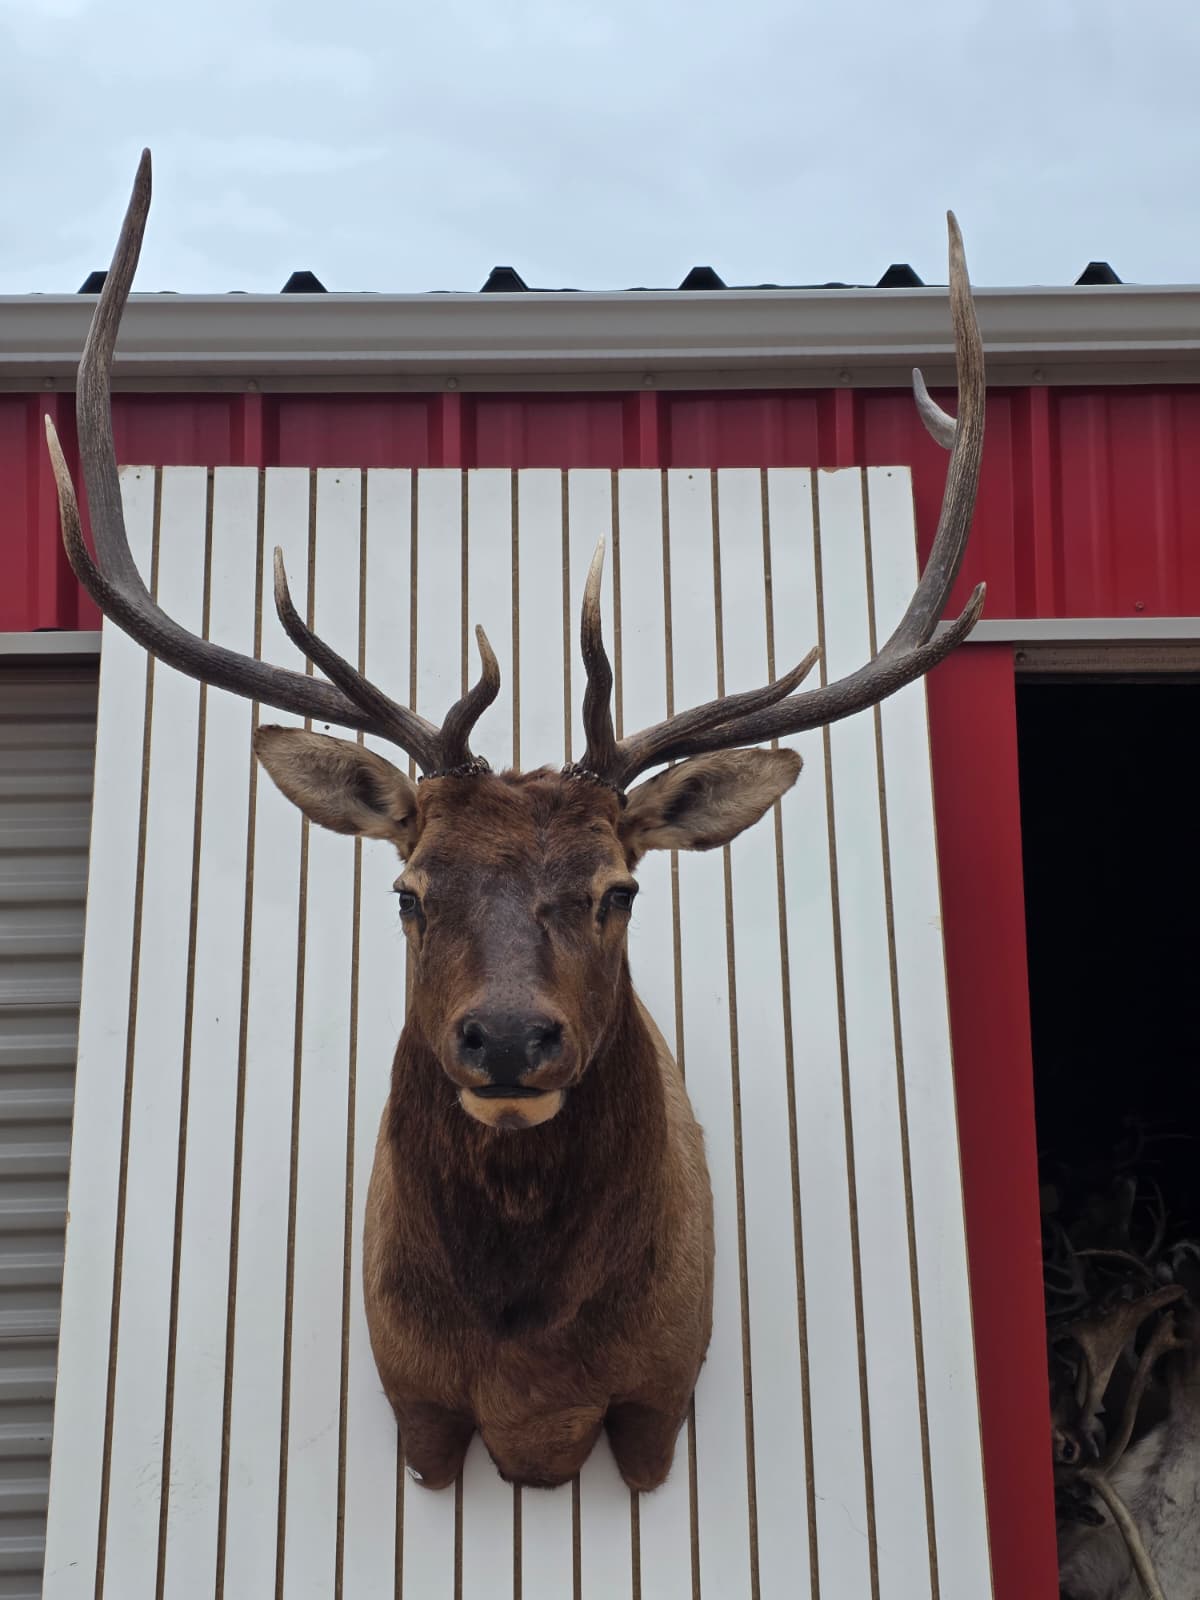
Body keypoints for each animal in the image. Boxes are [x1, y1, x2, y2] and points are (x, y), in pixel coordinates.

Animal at [45, 151, 986, 1493]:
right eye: (407, 890)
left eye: (618, 889)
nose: (502, 1036)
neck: (531, 1369)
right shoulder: (416, 1406)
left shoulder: (659, 1400)